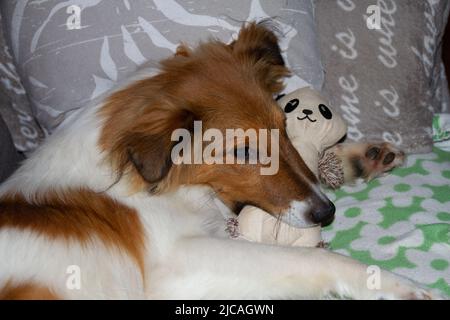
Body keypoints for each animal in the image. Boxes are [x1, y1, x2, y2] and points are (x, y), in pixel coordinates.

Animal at [0, 23, 442, 300]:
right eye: (243, 151)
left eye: (283, 124)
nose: (326, 213)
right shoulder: (175, 264)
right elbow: (308, 256)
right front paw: (395, 283)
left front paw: (361, 157)